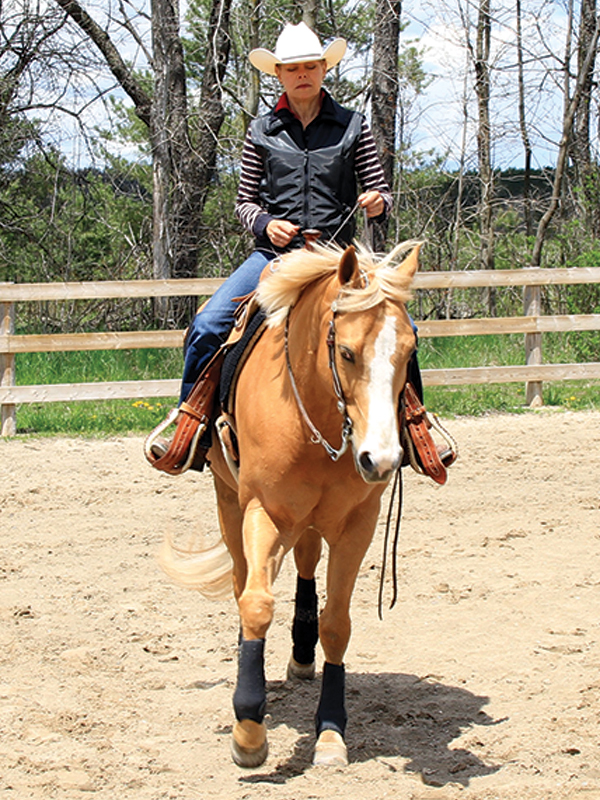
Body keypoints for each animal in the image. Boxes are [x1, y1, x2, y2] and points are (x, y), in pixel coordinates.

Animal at [160, 240, 420, 768]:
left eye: (409, 352)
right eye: (346, 351)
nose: (381, 460)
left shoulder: (358, 523)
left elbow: (337, 623)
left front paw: (331, 732)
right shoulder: (265, 511)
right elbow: (257, 603)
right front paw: (248, 730)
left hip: (312, 519)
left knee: (306, 562)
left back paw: (303, 653)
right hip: (230, 502)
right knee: (243, 582)